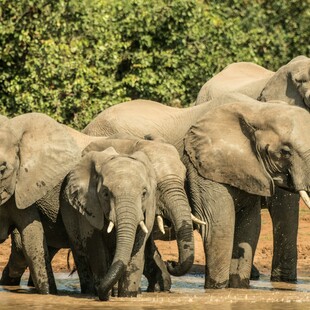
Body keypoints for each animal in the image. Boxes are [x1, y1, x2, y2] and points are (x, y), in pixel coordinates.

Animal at [81, 98, 310, 288]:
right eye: (285, 151)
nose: (172, 262)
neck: (256, 109)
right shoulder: (201, 167)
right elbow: (219, 227)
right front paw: (217, 290)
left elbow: (250, 227)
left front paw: (238, 287)